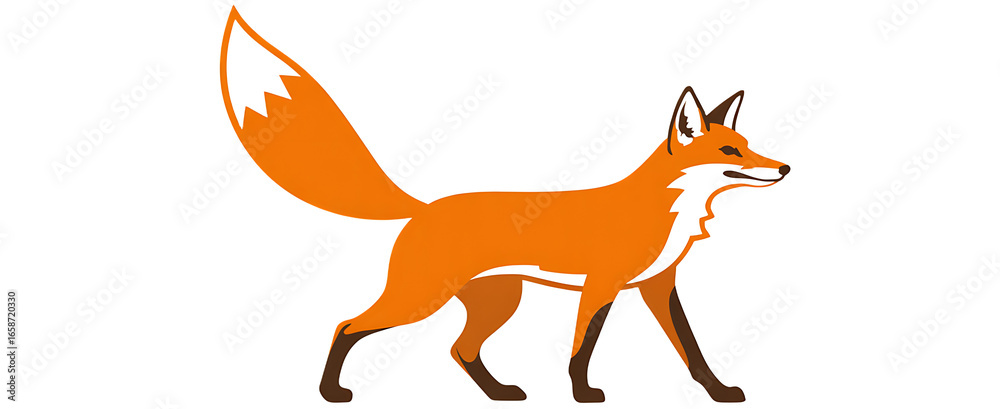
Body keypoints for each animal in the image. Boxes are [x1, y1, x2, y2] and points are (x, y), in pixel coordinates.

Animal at [220, 8, 789, 404]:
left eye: (747, 144)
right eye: (730, 152)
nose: (784, 168)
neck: (666, 210)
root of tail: (424, 206)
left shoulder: (657, 287)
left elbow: (694, 351)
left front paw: (720, 393)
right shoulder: (601, 285)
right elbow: (582, 349)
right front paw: (583, 395)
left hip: (498, 302)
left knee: (460, 349)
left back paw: (499, 394)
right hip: (419, 299)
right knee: (346, 326)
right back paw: (331, 393)